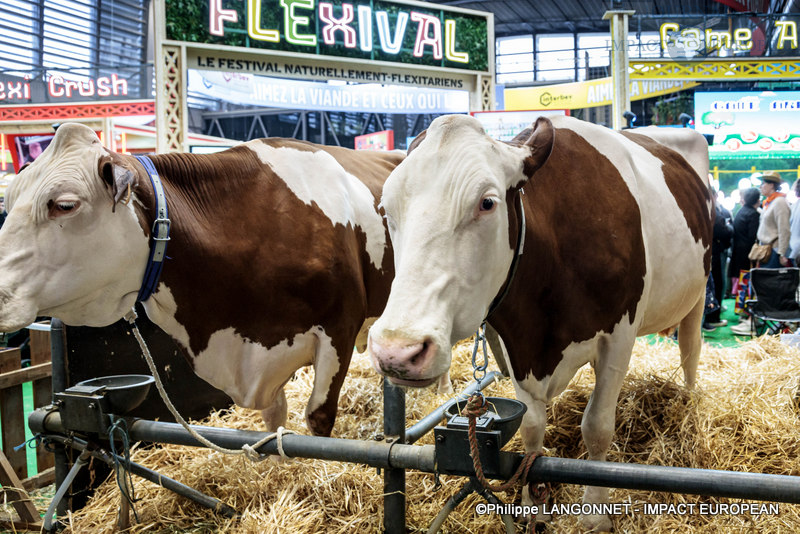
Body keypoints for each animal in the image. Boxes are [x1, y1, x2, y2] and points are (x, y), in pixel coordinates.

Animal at [368, 115, 712, 532]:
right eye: (386, 208)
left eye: (487, 202)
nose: (397, 350)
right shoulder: (515, 340)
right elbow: (532, 424)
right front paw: (534, 503)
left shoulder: (619, 335)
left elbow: (597, 427)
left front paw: (595, 513)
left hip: (700, 289)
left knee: (691, 347)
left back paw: (688, 403)